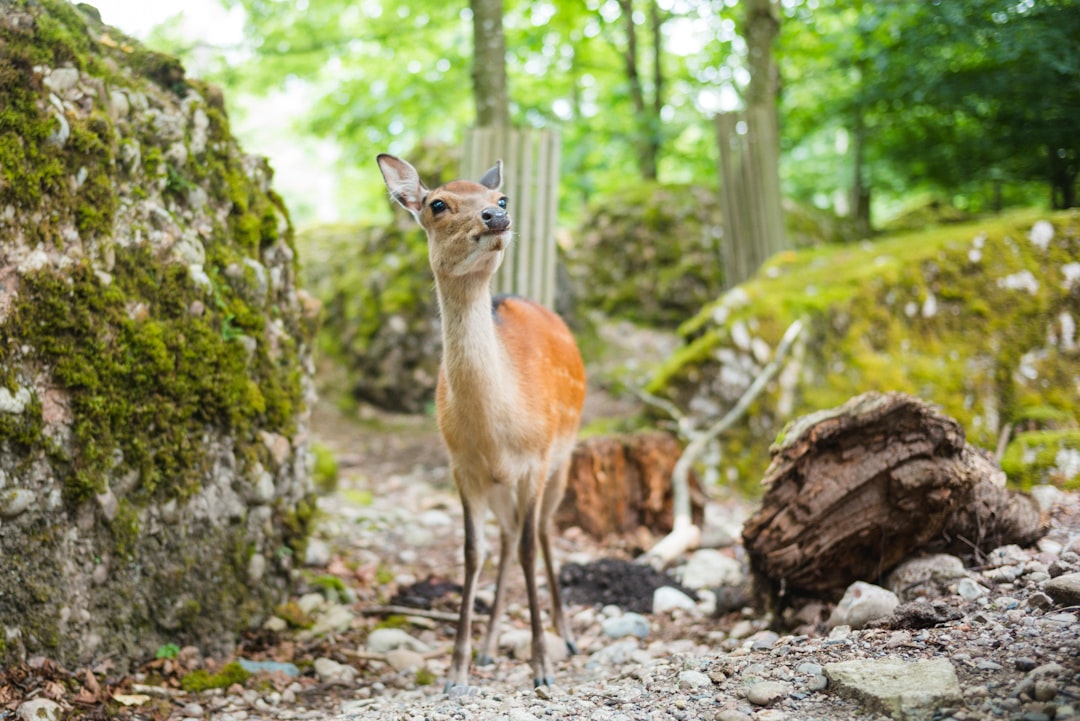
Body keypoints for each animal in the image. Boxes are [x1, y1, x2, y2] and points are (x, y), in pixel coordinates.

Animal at [375, 155, 587, 690]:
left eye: (501, 197)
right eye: (437, 204)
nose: (496, 217)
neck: (495, 432)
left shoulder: (535, 460)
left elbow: (531, 548)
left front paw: (542, 668)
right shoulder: (462, 467)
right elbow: (473, 553)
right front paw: (456, 671)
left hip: (565, 456)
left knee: (543, 531)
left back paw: (567, 635)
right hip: (500, 487)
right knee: (509, 538)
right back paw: (490, 648)